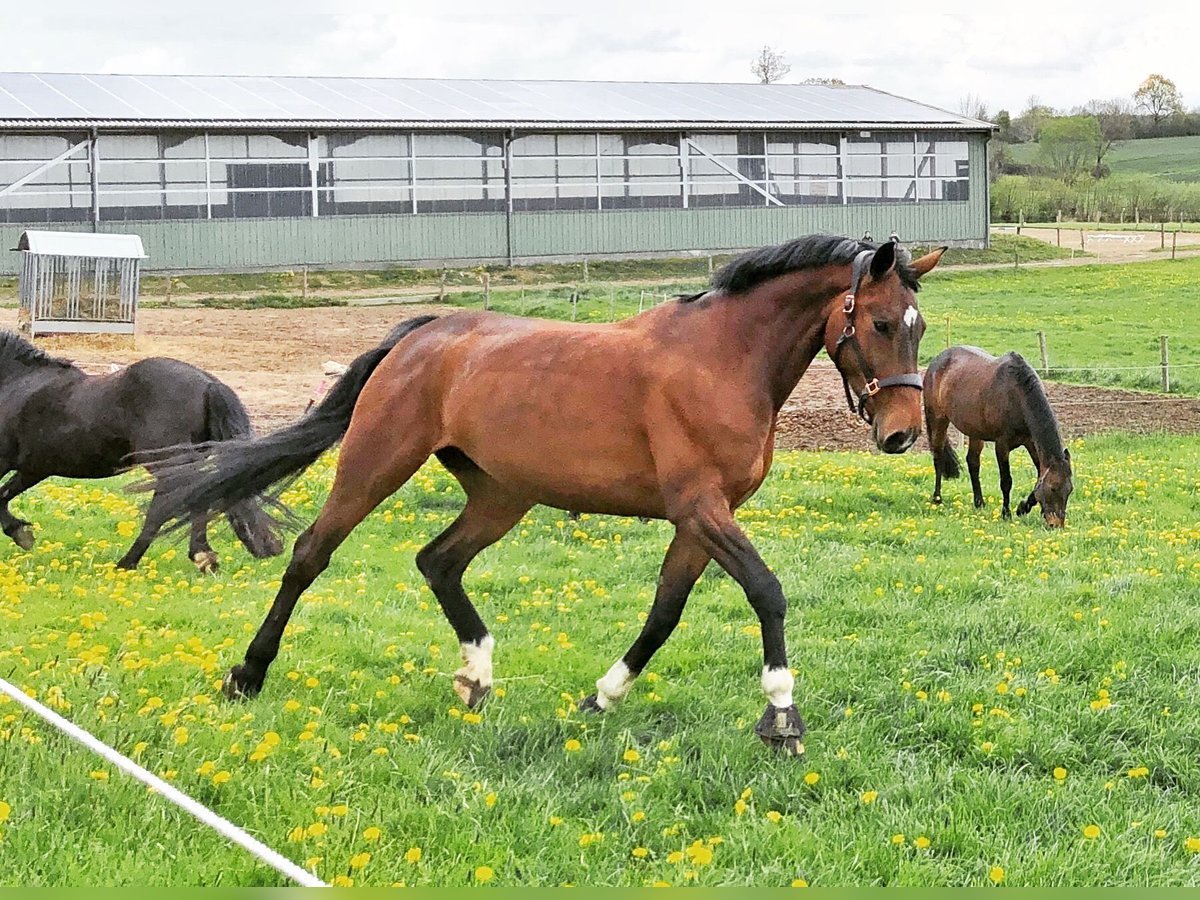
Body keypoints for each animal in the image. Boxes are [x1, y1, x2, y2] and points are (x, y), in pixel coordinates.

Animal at [0, 332, 283, 571]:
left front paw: (20, 533)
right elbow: (4, 495)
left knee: (165, 507)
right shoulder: (34, 467)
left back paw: (130, 563)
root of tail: (208, 384)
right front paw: (22, 532)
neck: (16, 383)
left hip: (164, 462)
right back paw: (205, 557)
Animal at [146, 235, 945, 755]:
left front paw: (602, 695)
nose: (903, 434)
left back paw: (476, 676)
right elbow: (767, 591)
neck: (722, 360)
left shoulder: (698, 522)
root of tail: (423, 335)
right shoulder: (701, 508)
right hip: (377, 463)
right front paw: (782, 715)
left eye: (920, 325)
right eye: (880, 322)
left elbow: (663, 614)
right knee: (311, 554)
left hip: (502, 495)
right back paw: (247, 674)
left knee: (438, 562)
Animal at [923, 346, 1073, 527]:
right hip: (938, 419)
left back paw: (979, 502)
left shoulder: (1031, 442)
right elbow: (1006, 481)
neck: (1016, 395)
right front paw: (1006, 513)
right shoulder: (1002, 445)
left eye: (1069, 490)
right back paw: (937, 499)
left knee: (973, 462)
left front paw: (1023, 508)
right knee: (938, 457)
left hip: (975, 431)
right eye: (1052, 488)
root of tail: (937, 361)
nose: (1056, 525)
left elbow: (1039, 475)